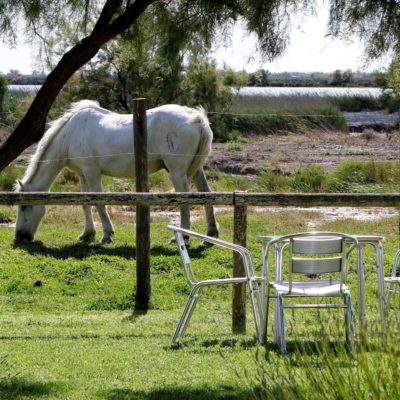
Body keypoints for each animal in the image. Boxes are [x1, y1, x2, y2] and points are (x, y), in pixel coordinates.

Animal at [14, 101, 219, 242]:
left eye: (24, 206)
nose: (19, 236)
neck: (70, 134)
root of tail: (197, 118)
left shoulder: (92, 172)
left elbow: (99, 202)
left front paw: (107, 234)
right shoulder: (83, 174)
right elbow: (85, 203)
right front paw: (87, 234)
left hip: (177, 172)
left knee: (185, 200)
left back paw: (184, 236)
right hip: (196, 170)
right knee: (206, 193)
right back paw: (211, 234)